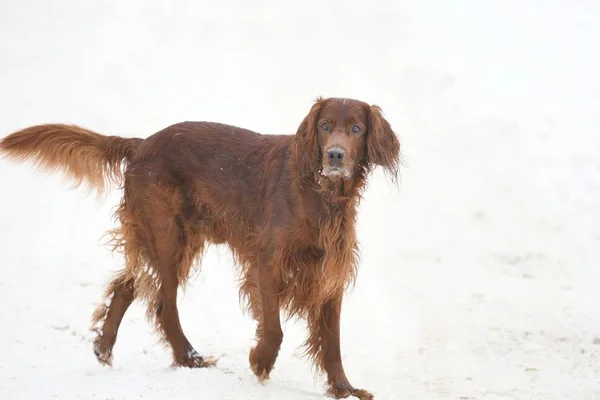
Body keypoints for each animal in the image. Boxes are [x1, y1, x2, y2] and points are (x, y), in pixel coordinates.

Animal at [1, 97, 404, 400]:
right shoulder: (268, 263)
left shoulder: (328, 273)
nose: (335, 155)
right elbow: (275, 329)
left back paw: (104, 346)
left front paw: (343, 388)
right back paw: (188, 357)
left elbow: (332, 341)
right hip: (167, 239)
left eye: (356, 128)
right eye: (324, 126)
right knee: (162, 304)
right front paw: (260, 361)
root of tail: (141, 144)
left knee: (127, 285)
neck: (319, 192)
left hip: (172, 239)